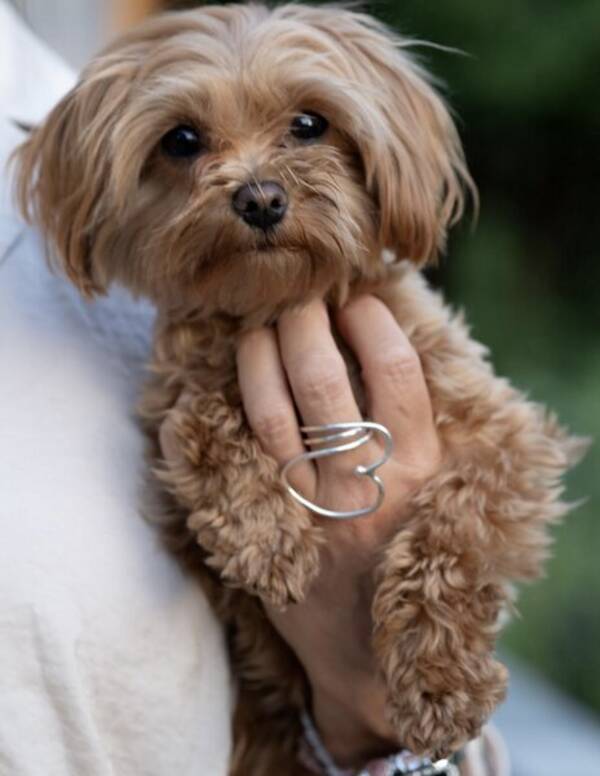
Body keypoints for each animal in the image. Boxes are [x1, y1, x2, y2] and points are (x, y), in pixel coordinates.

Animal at [15, 3, 584, 772]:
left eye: (310, 123)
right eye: (181, 140)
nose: (260, 198)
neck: (281, 306)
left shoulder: (503, 438)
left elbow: (452, 537)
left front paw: (440, 683)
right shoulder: (178, 407)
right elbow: (202, 420)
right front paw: (265, 536)